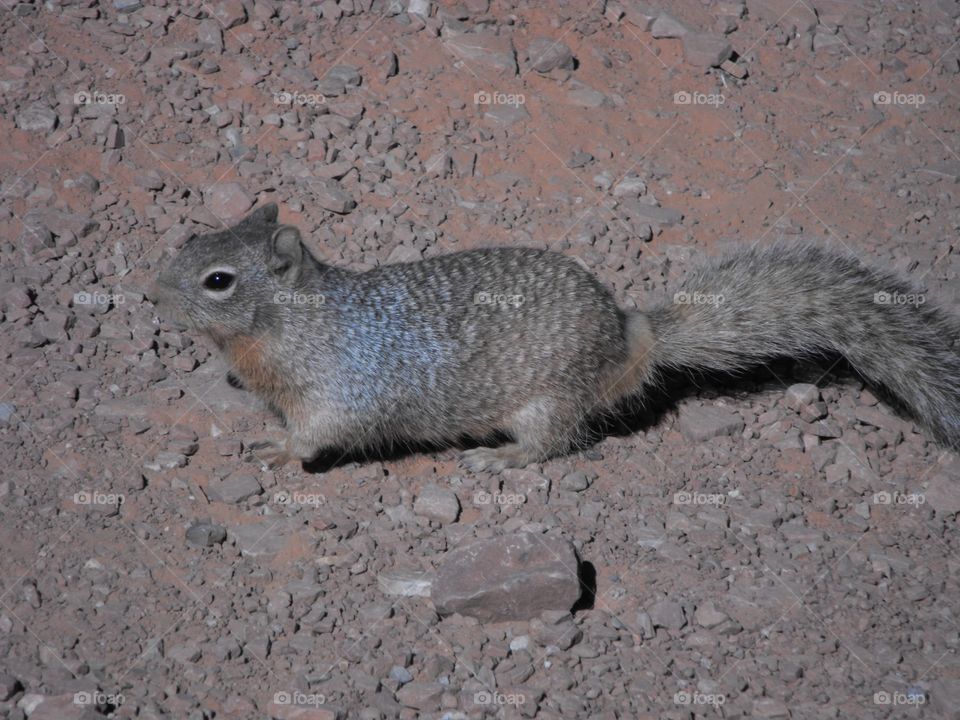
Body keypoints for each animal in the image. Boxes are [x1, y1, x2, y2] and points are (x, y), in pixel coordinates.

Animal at [154, 202, 960, 472]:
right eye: (189, 238)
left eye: (218, 280)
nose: (149, 291)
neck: (294, 320)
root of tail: (629, 342)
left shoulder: (341, 387)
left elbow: (324, 429)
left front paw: (279, 448)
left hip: (545, 402)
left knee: (555, 442)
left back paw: (503, 460)